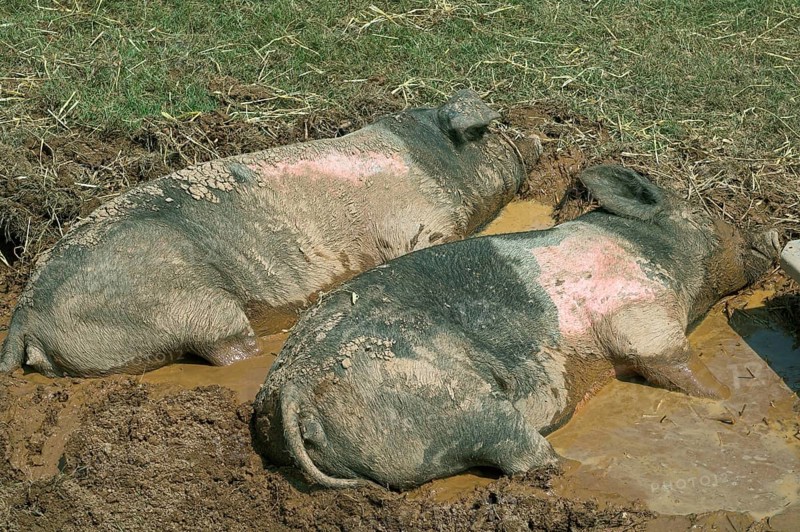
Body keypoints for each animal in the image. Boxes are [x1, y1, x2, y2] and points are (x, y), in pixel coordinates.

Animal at [0, 90, 529, 377]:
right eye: (493, 129)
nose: (537, 141)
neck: (431, 163)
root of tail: (26, 312)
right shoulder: (418, 225)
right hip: (186, 305)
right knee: (226, 344)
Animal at [253, 165, 781, 490]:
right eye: (710, 215)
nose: (772, 234)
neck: (660, 252)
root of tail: (294, 388)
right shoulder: (642, 311)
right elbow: (674, 363)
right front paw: (730, 405)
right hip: (451, 397)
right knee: (524, 454)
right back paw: (579, 471)